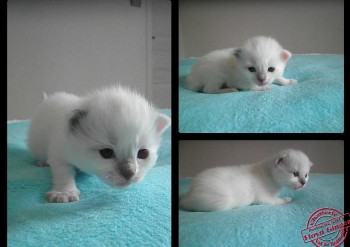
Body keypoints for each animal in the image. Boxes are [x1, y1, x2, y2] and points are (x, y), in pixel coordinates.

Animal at [27, 85, 171, 203]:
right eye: (106, 153)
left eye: (143, 154)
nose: (129, 173)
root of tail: (47, 100)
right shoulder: (58, 152)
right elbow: (63, 172)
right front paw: (64, 193)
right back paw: (42, 162)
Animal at [179, 150, 314, 211]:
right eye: (295, 174)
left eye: (306, 175)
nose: (303, 182)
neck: (269, 174)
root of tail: (190, 193)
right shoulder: (263, 197)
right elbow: (276, 201)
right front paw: (287, 200)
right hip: (222, 201)